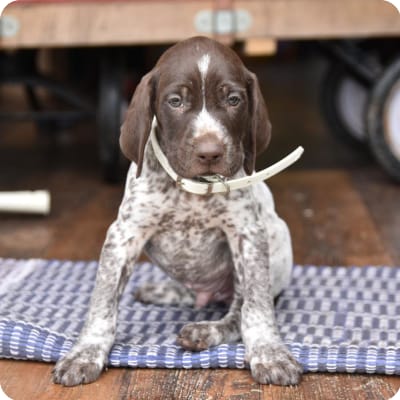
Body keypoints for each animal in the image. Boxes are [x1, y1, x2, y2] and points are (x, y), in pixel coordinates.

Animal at [54, 37, 304, 388]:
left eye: (233, 99)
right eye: (175, 101)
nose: (210, 153)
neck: (193, 189)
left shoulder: (248, 237)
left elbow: (256, 307)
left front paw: (270, 354)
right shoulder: (123, 236)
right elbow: (102, 303)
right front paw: (85, 353)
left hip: (277, 239)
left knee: (236, 311)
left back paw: (205, 331)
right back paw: (163, 292)